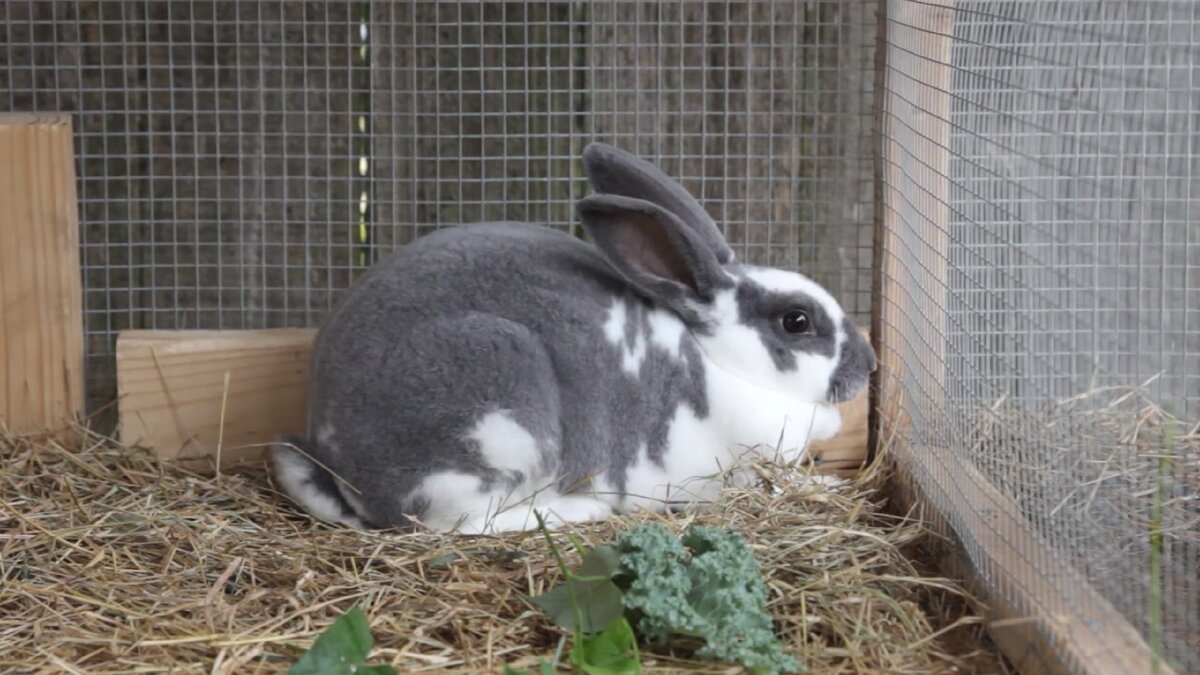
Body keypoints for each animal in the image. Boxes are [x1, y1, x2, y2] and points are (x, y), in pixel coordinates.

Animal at [269, 142, 877, 534]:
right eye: (797, 321)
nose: (868, 366)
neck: (717, 364)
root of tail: (339, 462)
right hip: (495, 405)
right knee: (455, 524)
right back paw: (578, 512)